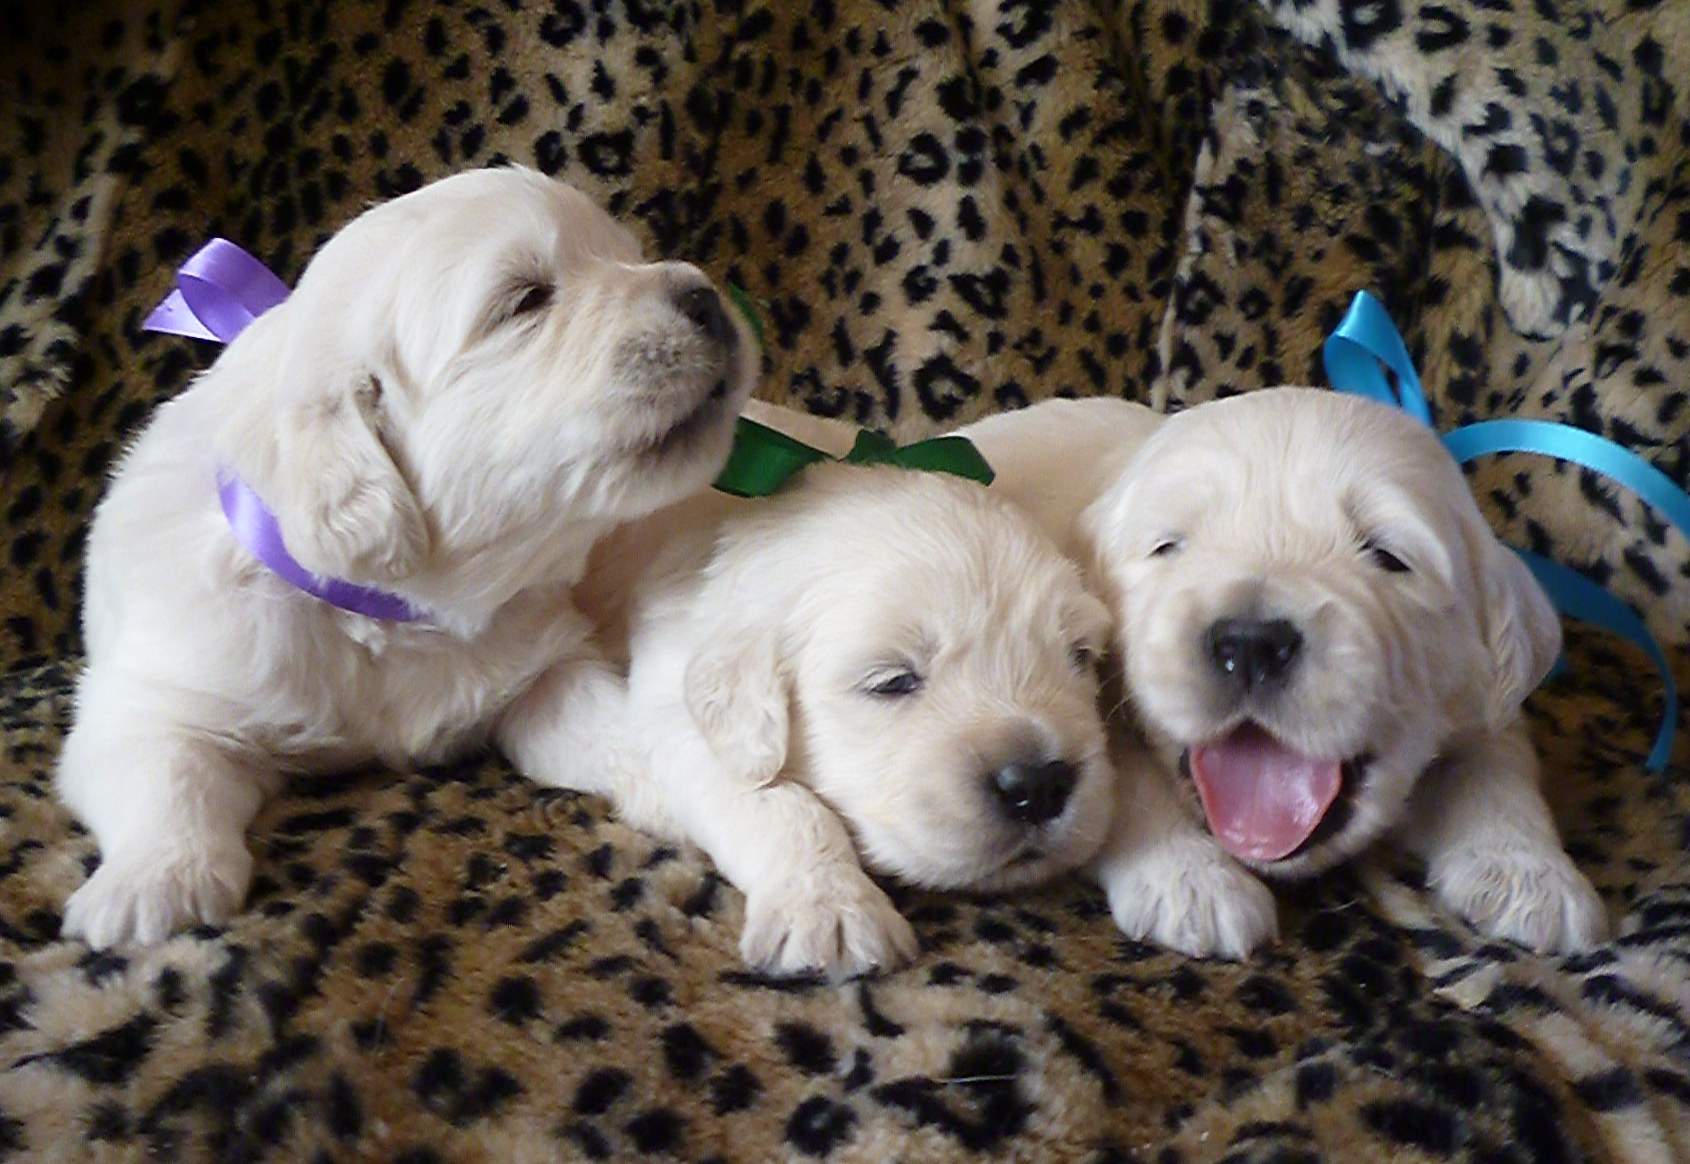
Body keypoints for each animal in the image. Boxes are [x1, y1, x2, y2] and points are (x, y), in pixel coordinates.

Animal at [57, 166, 757, 947]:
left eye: (626, 256)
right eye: (526, 299)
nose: (705, 295)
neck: (396, 610)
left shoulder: (546, 665)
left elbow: (610, 726)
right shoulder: (154, 694)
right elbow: (164, 771)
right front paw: (153, 886)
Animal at [571, 463, 1118, 978]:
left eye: (1079, 656)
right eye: (892, 682)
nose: (1040, 785)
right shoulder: (675, 712)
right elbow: (778, 803)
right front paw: (829, 907)